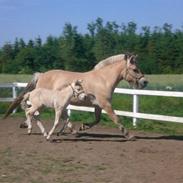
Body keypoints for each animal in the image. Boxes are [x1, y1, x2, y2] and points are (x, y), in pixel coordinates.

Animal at [3, 53, 147, 139]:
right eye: (135, 69)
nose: (145, 82)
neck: (103, 80)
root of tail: (42, 74)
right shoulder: (105, 104)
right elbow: (116, 119)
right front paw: (128, 135)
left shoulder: (98, 105)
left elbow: (97, 120)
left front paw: (83, 126)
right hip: (43, 102)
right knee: (33, 112)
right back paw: (31, 127)